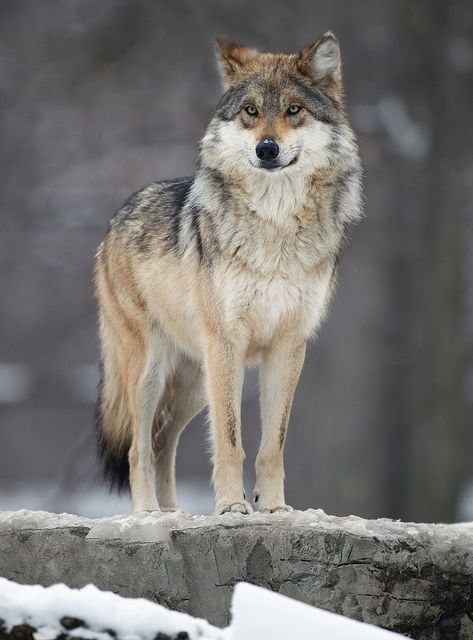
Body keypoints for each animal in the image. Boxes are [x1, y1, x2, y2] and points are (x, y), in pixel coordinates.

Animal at [95, 33, 362, 516]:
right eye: (251, 111)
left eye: (294, 110)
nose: (267, 149)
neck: (275, 227)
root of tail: (115, 218)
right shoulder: (227, 343)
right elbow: (230, 440)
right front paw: (232, 508)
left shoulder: (288, 346)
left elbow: (273, 443)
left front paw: (272, 508)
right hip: (153, 372)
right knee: (138, 448)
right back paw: (147, 515)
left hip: (195, 383)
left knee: (162, 443)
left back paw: (175, 514)